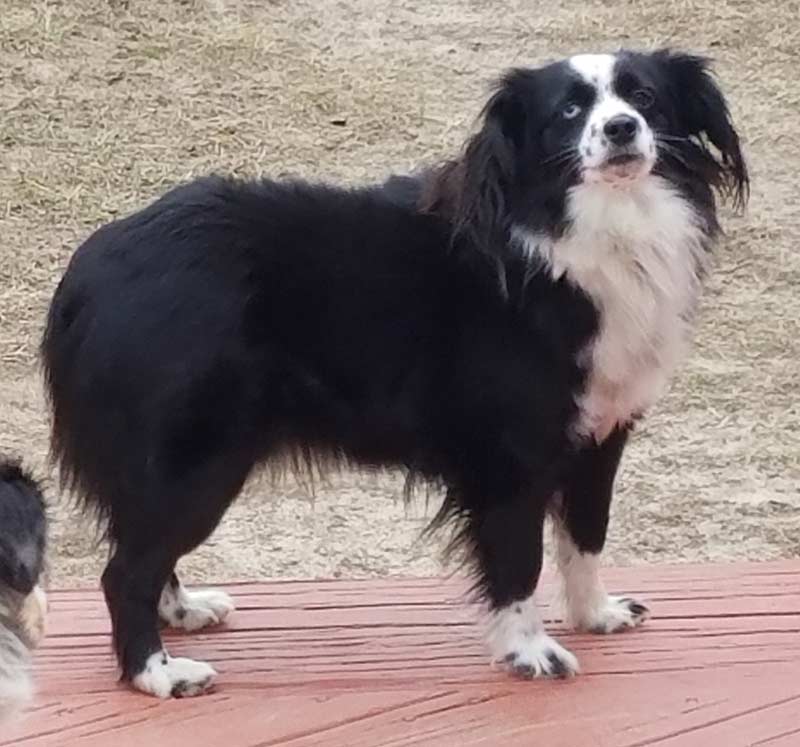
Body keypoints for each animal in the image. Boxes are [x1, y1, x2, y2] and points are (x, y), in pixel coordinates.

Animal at [42, 49, 744, 700]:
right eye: (569, 111)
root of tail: (88, 270)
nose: (622, 128)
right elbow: (520, 557)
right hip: (199, 460)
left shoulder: (602, 430)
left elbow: (587, 534)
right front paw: (530, 651)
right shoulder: (510, 453)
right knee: (125, 570)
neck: (580, 228)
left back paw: (183, 612)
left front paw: (595, 614)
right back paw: (157, 673)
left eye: (645, 97)